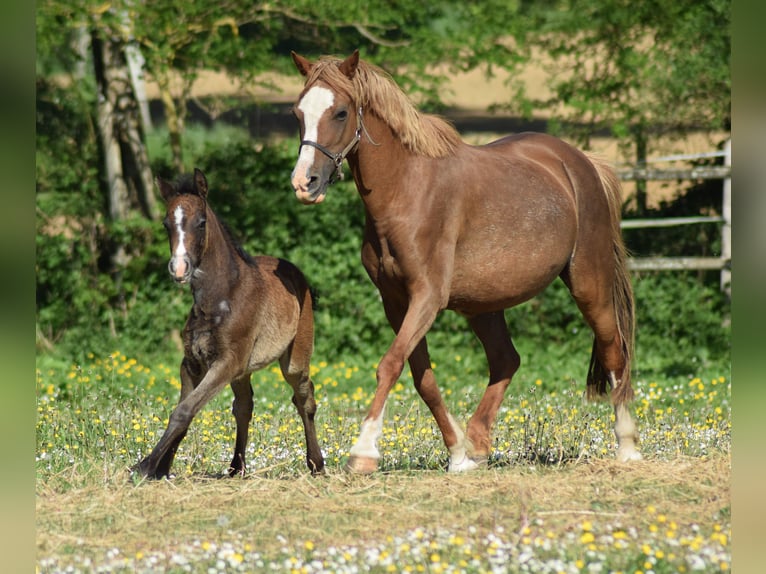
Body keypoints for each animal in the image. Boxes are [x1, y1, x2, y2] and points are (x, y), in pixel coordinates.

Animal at [134, 168, 324, 479]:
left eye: (200, 222)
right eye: (166, 224)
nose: (179, 269)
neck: (221, 298)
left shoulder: (226, 362)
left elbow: (183, 411)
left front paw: (145, 466)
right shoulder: (192, 363)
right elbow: (183, 411)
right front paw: (161, 468)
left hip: (294, 359)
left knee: (304, 398)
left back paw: (316, 463)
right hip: (243, 370)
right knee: (244, 406)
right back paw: (237, 466)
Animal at [289, 50, 641, 474]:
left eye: (340, 112)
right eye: (298, 112)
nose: (304, 183)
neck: (407, 191)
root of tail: (581, 162)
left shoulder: (427, 297)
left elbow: (389, 365)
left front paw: (364, 451)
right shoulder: (397, 303)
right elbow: (421, 377)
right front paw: (457, 453)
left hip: (589, 283)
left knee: (613, 350)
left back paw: (628, 446)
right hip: (484, 305)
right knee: (506, 360)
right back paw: (478, 443)